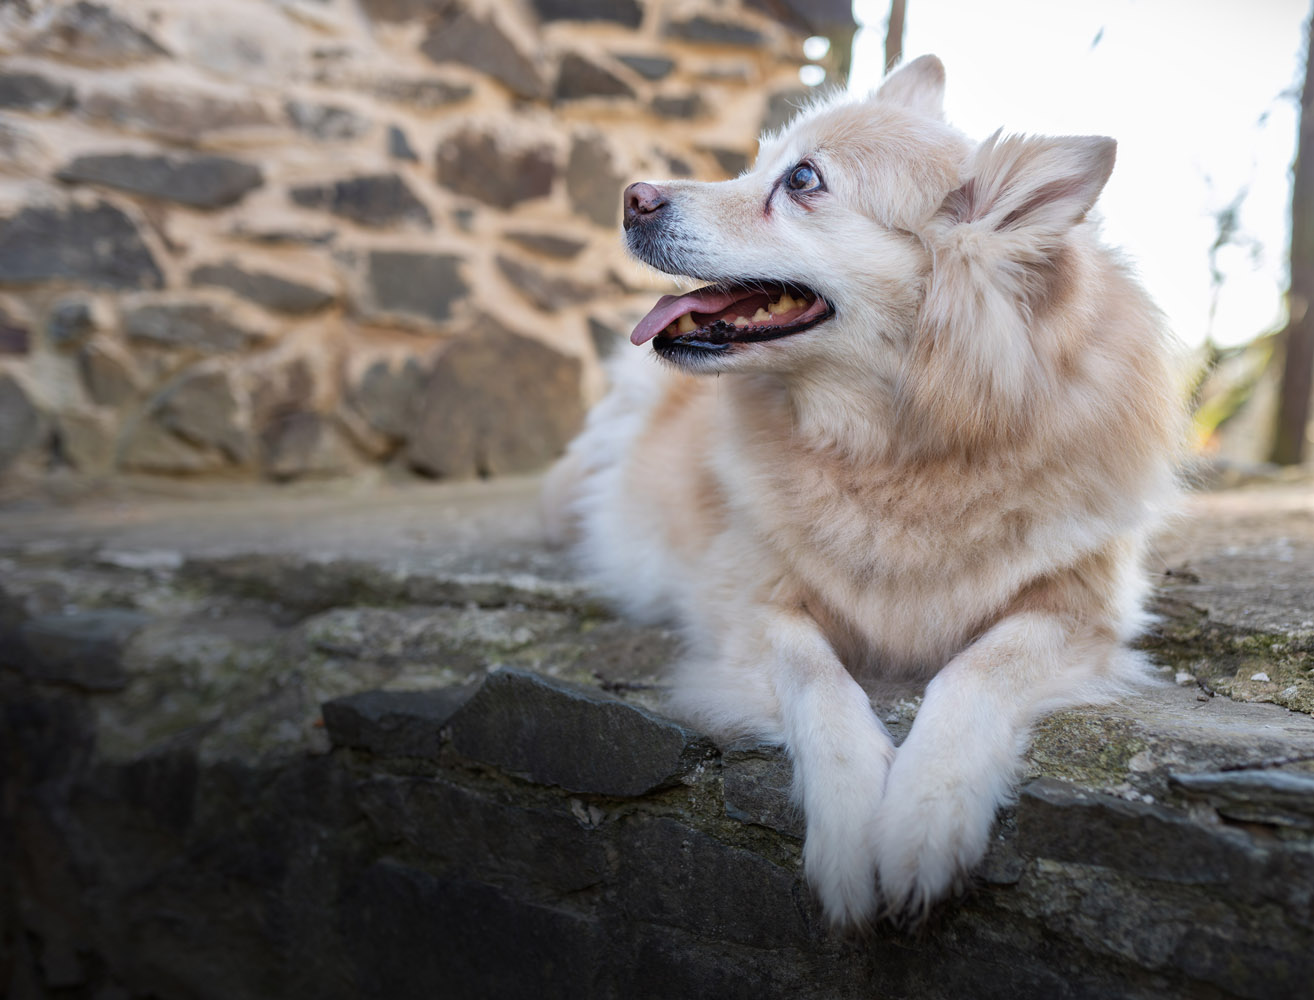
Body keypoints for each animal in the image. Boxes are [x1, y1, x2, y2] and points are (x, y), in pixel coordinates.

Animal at [544, 55, 1181, 927]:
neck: (895, 450)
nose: (633, 196)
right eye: (756, 163)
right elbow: (817, 680)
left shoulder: (1078, 615)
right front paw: (849, 824)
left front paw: (925, 813)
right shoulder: (749, 607)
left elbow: (978, 669)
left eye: (802, 180)